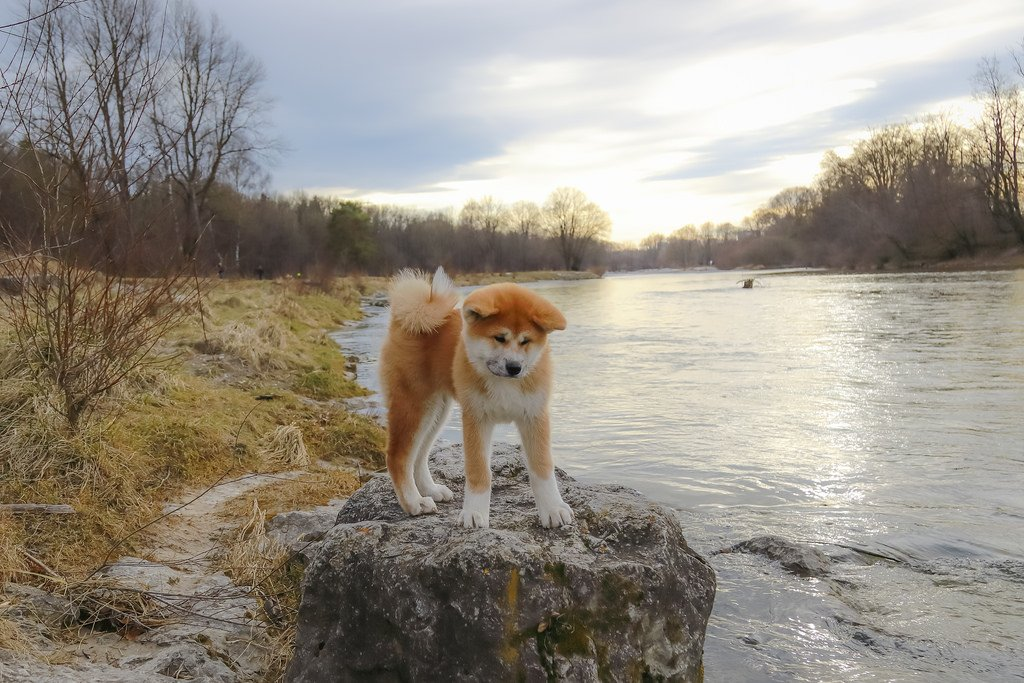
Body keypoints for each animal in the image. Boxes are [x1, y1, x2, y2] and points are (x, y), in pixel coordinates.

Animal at [382, 266, 577, 528]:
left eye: (526, 341)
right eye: (499, 338)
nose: (514, 367)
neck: (504, 383)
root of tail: (410, 317)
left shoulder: (535, 416)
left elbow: (543, 467)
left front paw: (553, 508)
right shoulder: (477, 418)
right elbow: (478, 471)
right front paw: (474, 513)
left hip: (436, 411)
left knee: (419, 455)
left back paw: (430, 490)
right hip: (415, 405)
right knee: (398, 457)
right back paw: (414, 502)